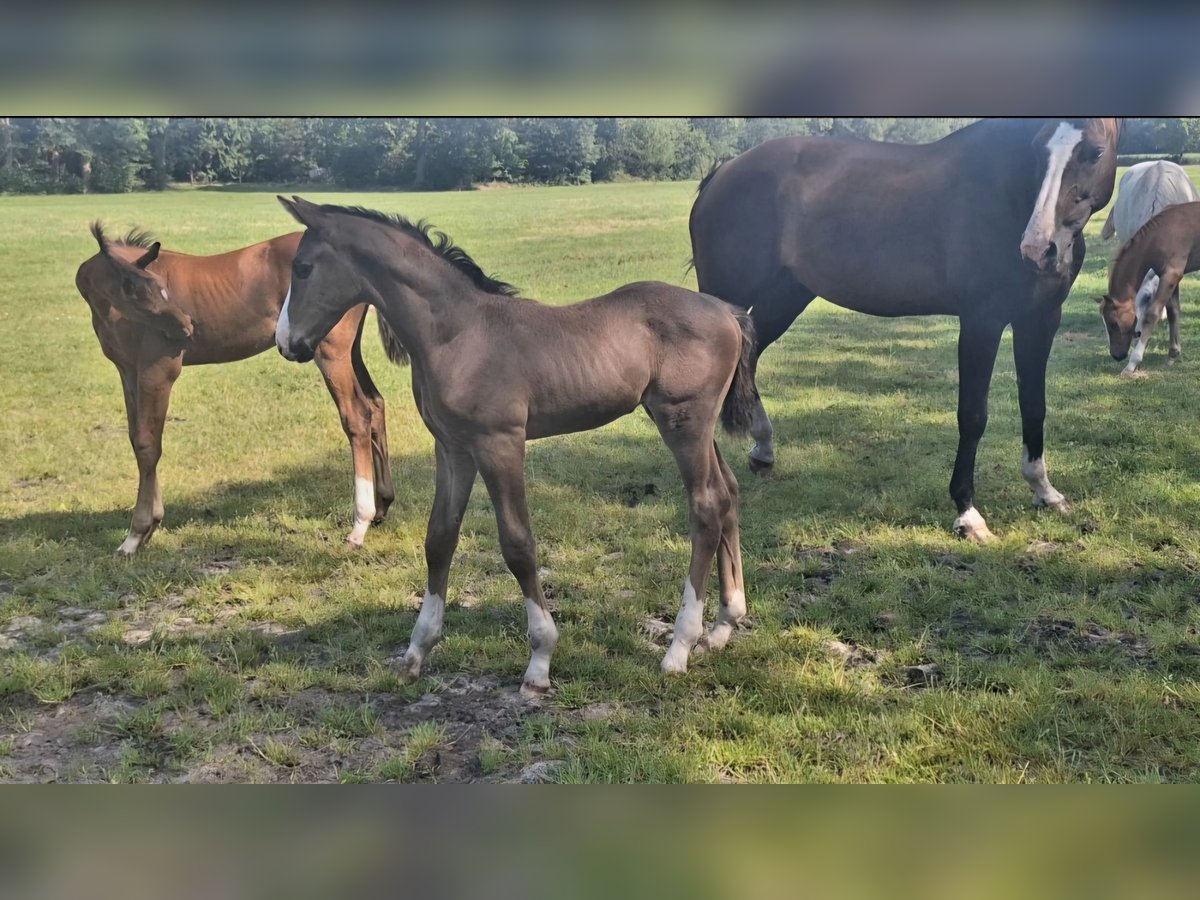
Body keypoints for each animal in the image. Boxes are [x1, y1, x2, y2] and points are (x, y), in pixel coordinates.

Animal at [77, 224, 396, 556]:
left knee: (357, 416)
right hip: (349, 350)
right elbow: (136, 439)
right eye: (136, 290)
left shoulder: (158, 372)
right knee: (375, 404)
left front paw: (136, 534)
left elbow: (148, 444)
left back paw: (359, 525)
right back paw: (382, 506)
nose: (186, 327)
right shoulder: (128, 372)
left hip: (332, 352)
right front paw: (150, 525)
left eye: (159, 287)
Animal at [276, 196, 753, 700]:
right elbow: (439, 539)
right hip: (697, 427)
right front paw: (416, 653)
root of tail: (728, 312)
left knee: (706, 506)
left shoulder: (500, 444)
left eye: (303, 268)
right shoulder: (453, 448)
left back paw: (679, 649)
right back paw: (722, 626)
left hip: (683, 422)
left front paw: (540, 661)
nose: (286, 342)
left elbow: (518, 545)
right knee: (728, 493)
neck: (457, 334)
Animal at [691, 118, 1118, 542]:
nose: (1037, 249)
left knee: (748, 357)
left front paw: (1044, 491)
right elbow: (973, 415)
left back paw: (763, 449)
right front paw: (967, 513)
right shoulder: (982, 321)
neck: (1010, 196)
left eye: (1095, 151)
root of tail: (722, 173)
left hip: (787, 294)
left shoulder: (1040, 319)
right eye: (1037, 148)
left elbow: (1034, 405)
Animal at [1099, 200, 1200, 374]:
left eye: (1113, 323)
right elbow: (1173, 311)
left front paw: (1132, 364)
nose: (1116, 355)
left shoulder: (1171, 274)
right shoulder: (1169, 276)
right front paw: (1173, 354)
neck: (1163, 233)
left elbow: (1151, 314)